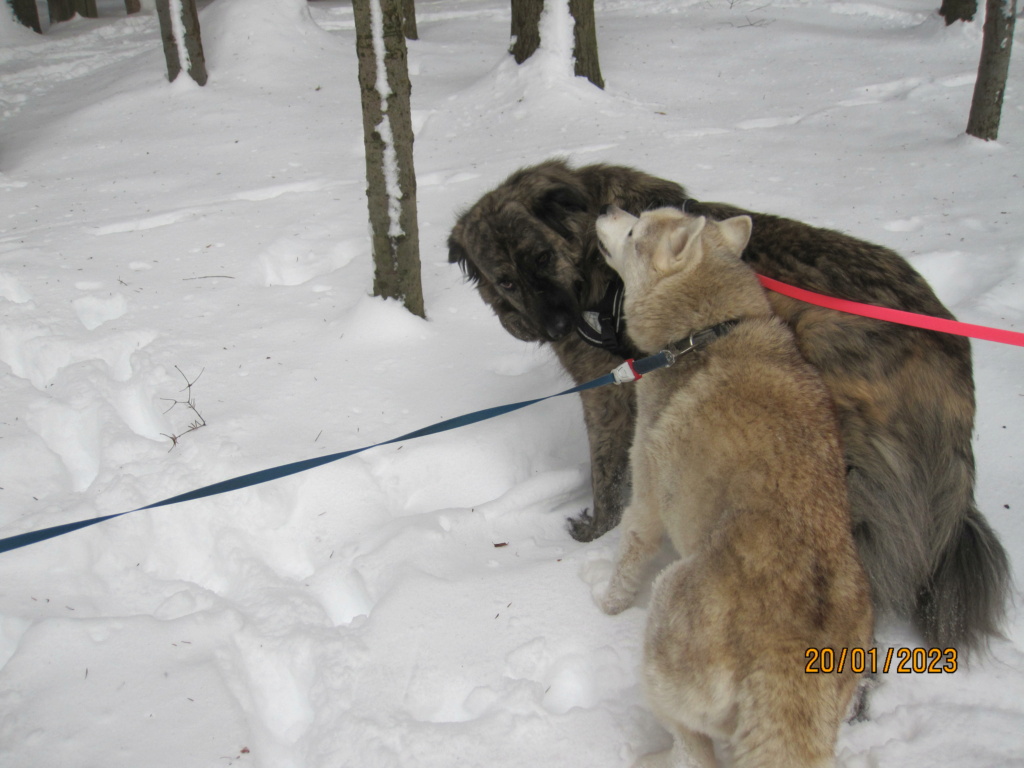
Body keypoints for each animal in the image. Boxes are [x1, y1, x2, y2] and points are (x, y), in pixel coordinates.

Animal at [448, 157, 1007, 655]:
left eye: (542, 258)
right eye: (506, 280)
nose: (558, 327)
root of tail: (951, 356)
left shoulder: (606, 394)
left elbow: (607, 477)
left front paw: (589, 538)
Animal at [598, 205, 876, 768]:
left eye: (635, 230)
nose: (612, 208)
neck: (705, 331)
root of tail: (788, 664)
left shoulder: (646, 494)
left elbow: (629, 556)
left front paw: (606, 607)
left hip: (666, 615)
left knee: (693, 750)